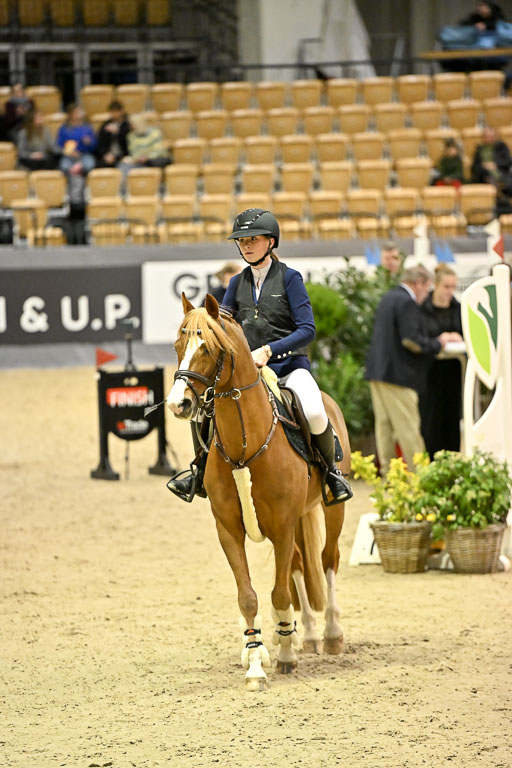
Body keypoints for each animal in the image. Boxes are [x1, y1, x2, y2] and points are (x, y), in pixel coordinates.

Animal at [166, 293, 351, 691]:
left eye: (208, 348)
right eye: (177, 346)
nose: (178, 404)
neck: (244, 446)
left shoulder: (281, 527)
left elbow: (279, 593)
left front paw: (281, 657)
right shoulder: (229, 530)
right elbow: (249, 597)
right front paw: (256, 662)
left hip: (332, 511)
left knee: (327, 561)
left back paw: (329, 635)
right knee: (298, 565)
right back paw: (300, 636)